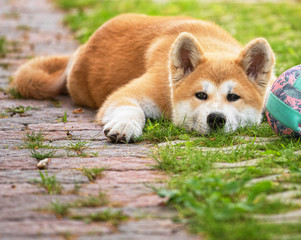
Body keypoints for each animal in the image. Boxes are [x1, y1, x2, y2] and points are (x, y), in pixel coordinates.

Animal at [12, 13, 274, 142]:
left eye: (233, 97)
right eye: (200, 95)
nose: (216, 119)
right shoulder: (131, 93)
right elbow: (132, 109)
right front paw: (125, 125)